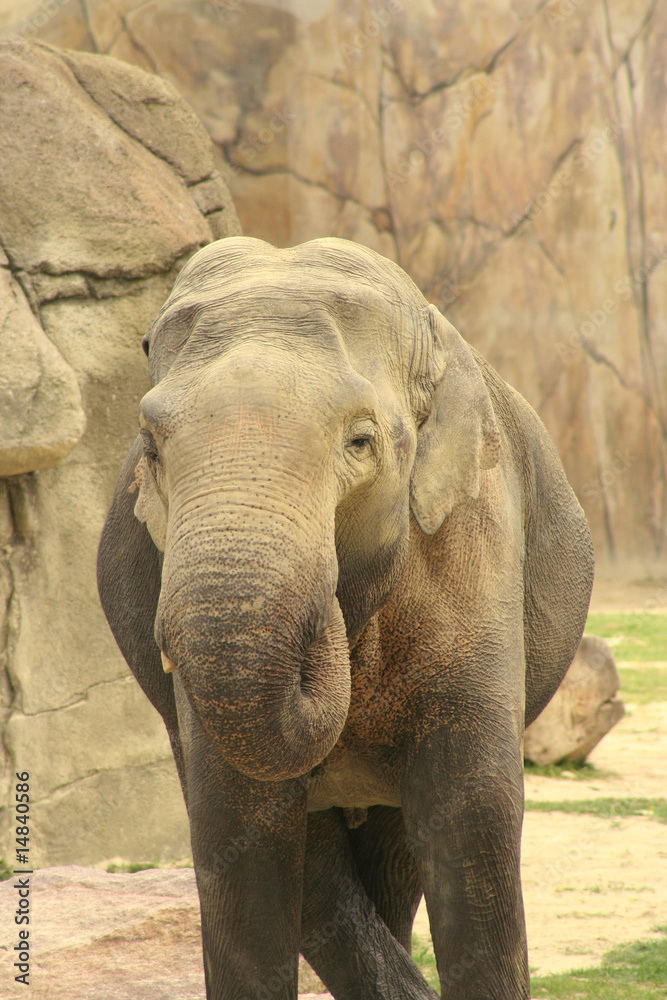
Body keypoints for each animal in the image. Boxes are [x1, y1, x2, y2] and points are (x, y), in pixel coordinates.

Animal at [97, 236, 594, 1000]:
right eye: (150, 448)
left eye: (360, 442)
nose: (326, 614)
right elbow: (239, 835)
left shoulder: (474, 541)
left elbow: (470, 815)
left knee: (394, 855)